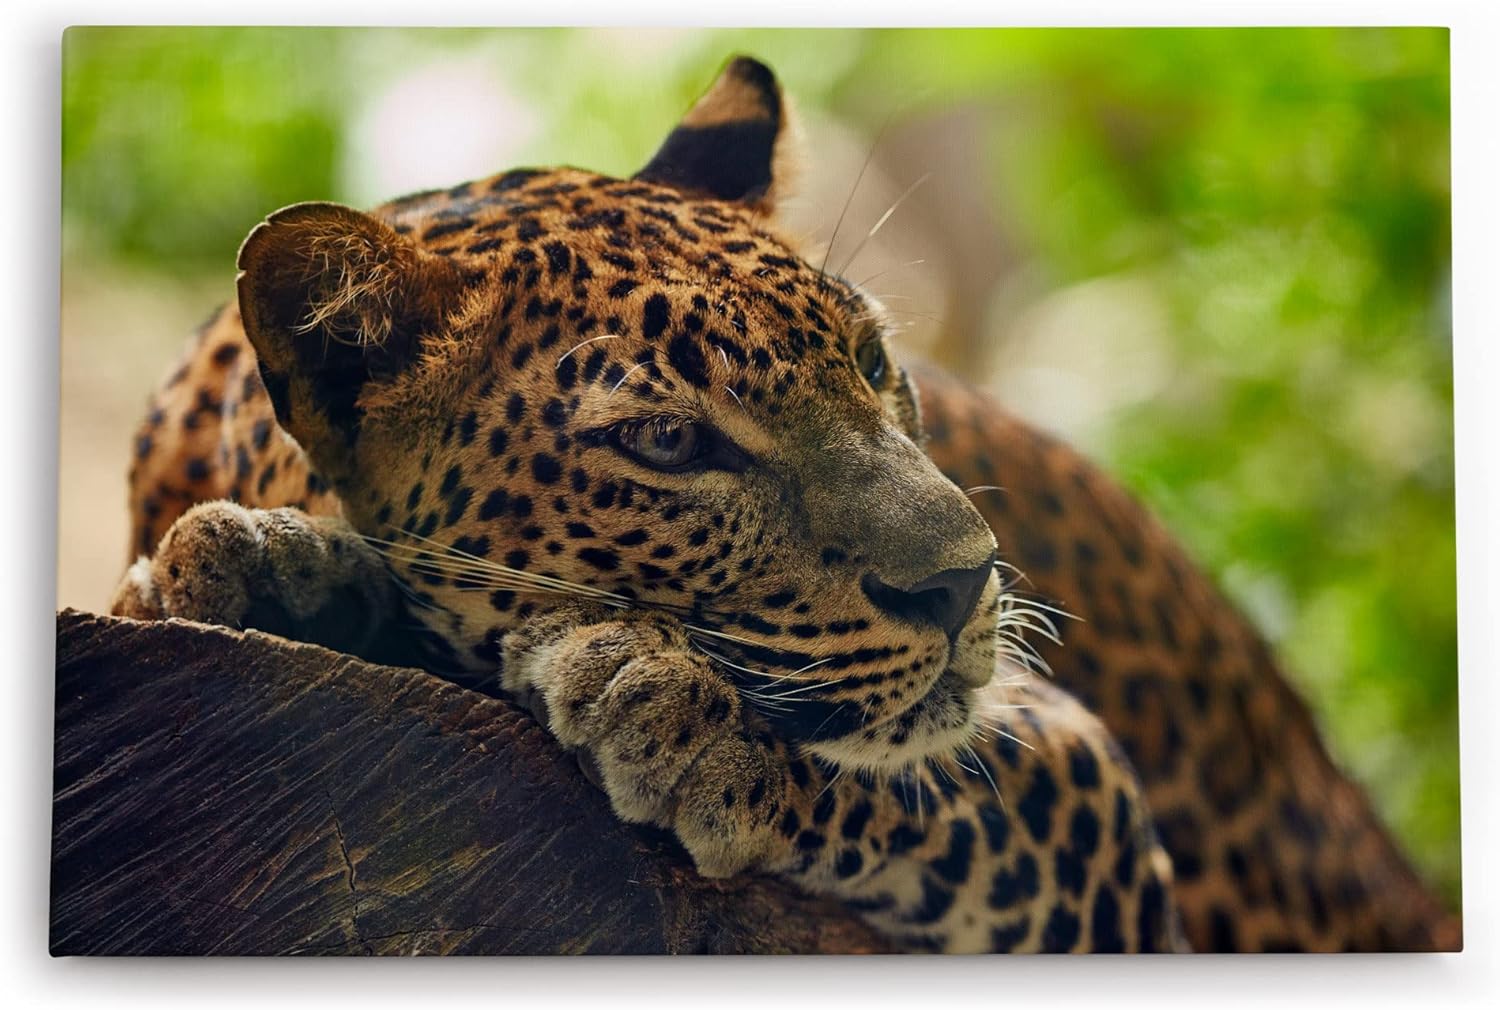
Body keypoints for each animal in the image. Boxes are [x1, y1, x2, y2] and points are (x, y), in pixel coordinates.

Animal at [107, 55, 1458, 953]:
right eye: (668, 440)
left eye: (868, 359)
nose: (966, 577)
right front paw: (262, 566)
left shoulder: (1088, 790)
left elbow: (940, 772)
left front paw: (685, 720)